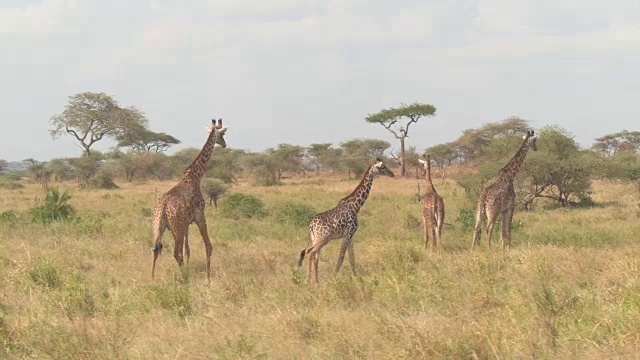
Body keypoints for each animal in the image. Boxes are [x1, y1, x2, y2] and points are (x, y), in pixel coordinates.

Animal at [151, 118, 229, 282]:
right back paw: (185, 279)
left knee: (156, 249)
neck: (195, 176)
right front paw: (208, 279)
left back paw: (152, 278)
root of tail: (163, 209)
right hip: (177, 227)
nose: (225, 144)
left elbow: (188, 250)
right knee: (176, 253)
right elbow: (208, 246)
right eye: (222, 134)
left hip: (159, 226)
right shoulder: (200, 216)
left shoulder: (186, 224)